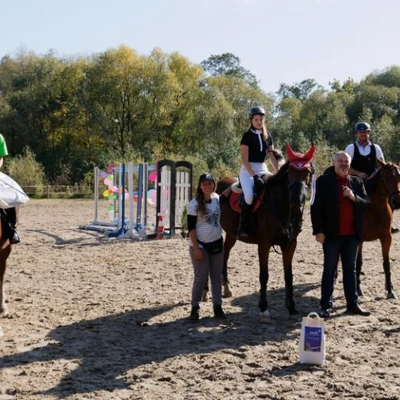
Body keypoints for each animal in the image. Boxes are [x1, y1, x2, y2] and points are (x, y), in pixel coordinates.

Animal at [217, 145, 314, 320]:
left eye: (307, 172)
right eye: (290, 172)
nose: (296, 198)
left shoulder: (290, 245)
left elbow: (289, 275)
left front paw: (291, 306)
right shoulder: (264, 244)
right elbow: (264, 275)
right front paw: (263, 306)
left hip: (231, 234)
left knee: (226, 253)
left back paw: (226, 289)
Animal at [358, 159, 400, 296]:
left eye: (399, 177)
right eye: (385, 177)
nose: (397, 201)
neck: (375, 208)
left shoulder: (386, 238)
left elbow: (386, 263)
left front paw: (390, 289)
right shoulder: (359, 240)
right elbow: (358, 262)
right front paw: (358, 289)